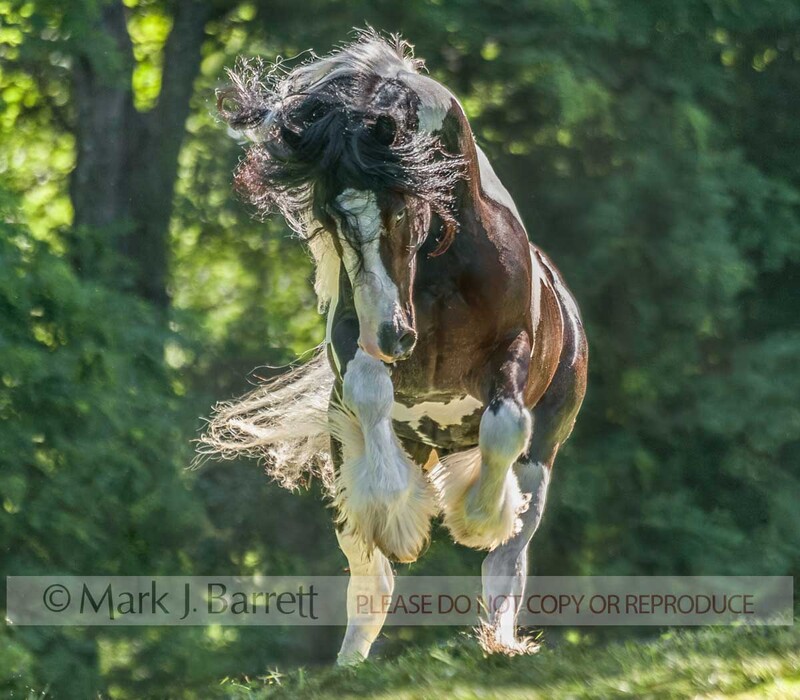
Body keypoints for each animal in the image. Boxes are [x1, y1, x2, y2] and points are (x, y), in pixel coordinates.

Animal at [201, 30, 588, 663]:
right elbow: (369, 394)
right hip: (364, 452)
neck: (437, 270)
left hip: (543, 458)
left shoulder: (514, 348)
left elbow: (504, 427)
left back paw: (499, 641)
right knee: (370, 578)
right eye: (332, 218)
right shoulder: (352, 340)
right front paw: (401, 517)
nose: (394, 334)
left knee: (508, 559)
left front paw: (475, 518)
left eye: (404, 205)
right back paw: (351, 663)